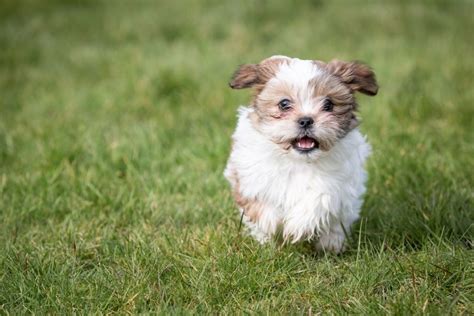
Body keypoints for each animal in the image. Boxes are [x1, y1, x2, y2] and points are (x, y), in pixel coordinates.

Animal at [224, 55, 380, 253]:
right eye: (284, 104)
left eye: (328, 104)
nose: (306, 120)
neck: (298, 161)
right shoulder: (249, 175)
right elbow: (260, 203)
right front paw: (271, 224)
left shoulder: (341, 181)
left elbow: (321, 197)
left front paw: (298, 226)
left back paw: (331, 244)